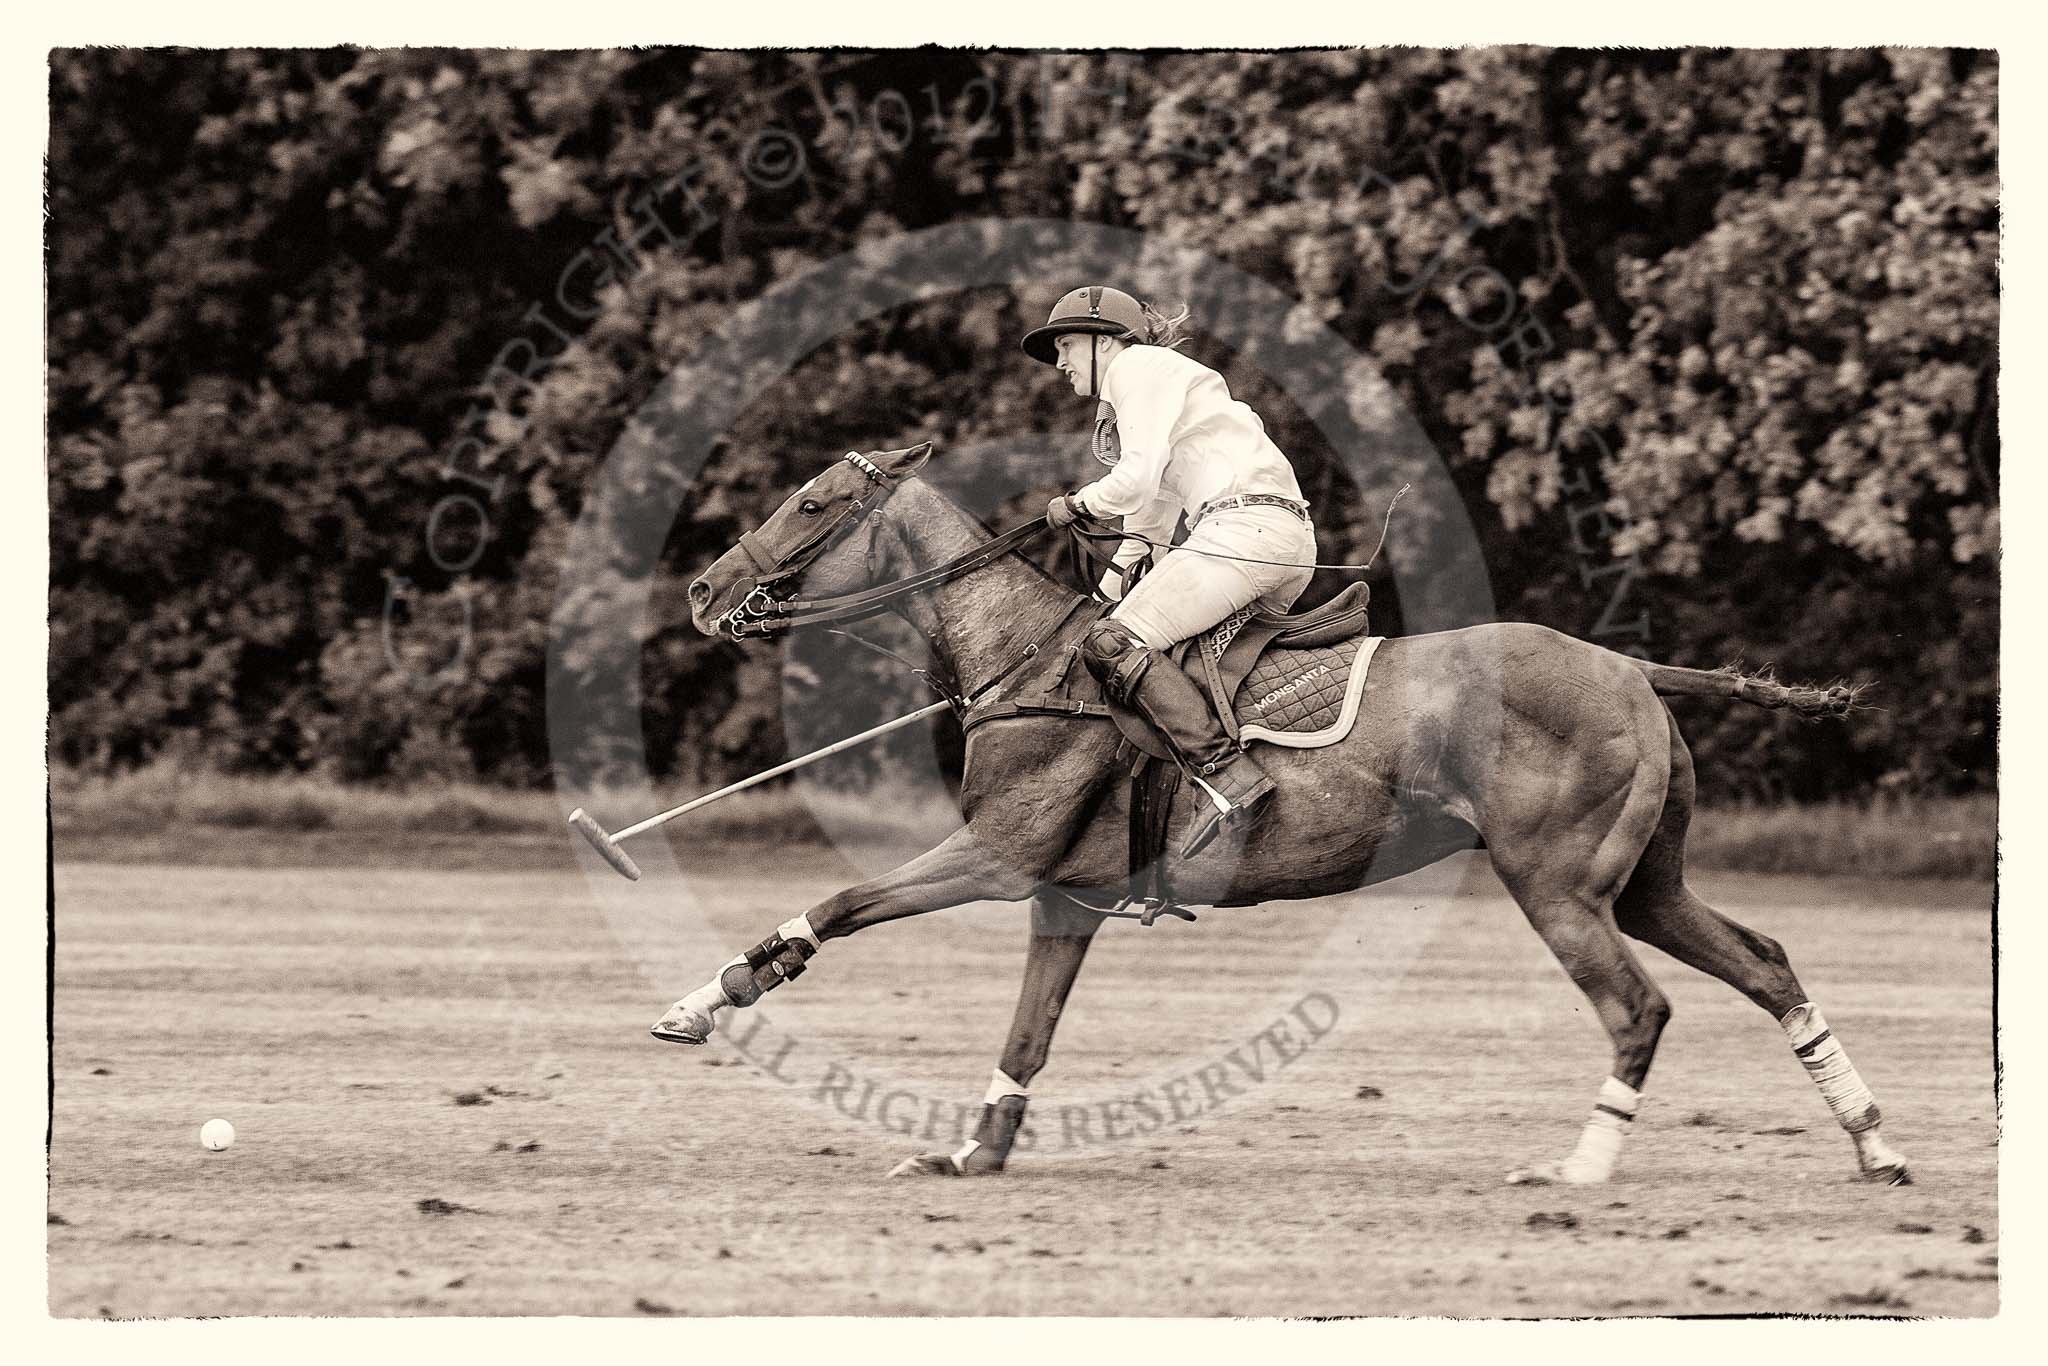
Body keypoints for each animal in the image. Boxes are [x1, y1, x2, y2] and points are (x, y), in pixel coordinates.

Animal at [651, 446, 1900, 1187]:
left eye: (814, 502)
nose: (706, 590)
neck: (1027, 660)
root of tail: (1635, 666)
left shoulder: (999, 856)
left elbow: (841, 900)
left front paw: (703, 1000)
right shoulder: (1065, 894)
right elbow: (1027, 1034)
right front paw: (975, 1150)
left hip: (1555, 882)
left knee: (1637, 1007)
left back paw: (1577, 1170)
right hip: (1643, 882)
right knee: (1765, 959)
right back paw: (1873, 1144)